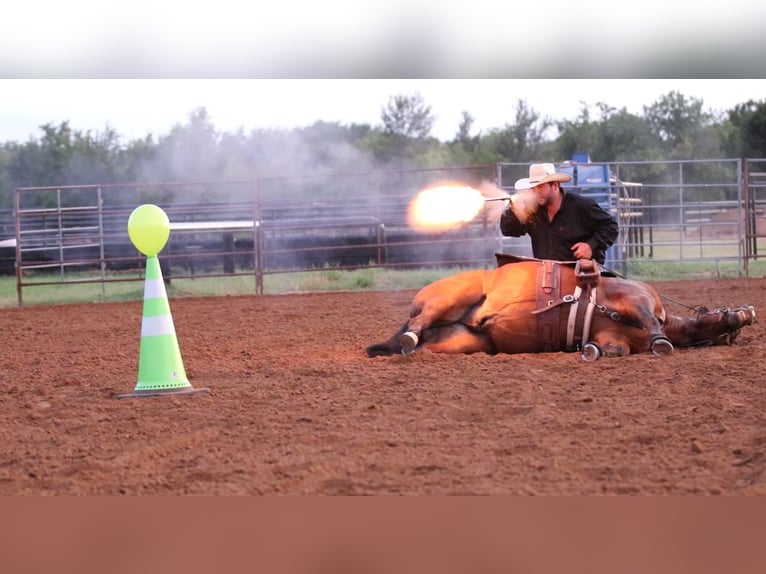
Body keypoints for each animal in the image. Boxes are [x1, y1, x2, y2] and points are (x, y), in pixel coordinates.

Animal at [368, 258, 760, 362]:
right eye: (733, 315)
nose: (748, 313)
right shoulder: (635, 299)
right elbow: (650, 322)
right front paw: (661, 341)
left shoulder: (612, 332)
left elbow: (613, 348)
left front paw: (593, 351)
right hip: (448, 298)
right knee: (418, 322)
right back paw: (408, 336)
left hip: (461, 340)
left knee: (423, 344)